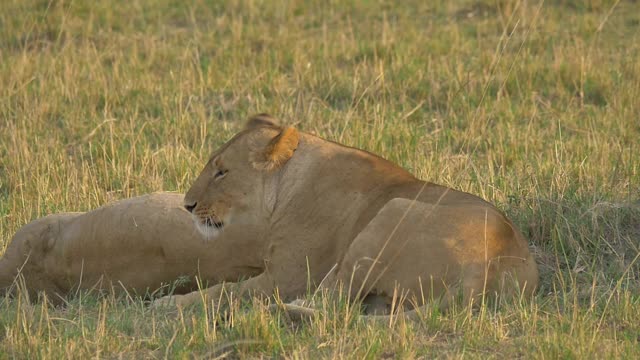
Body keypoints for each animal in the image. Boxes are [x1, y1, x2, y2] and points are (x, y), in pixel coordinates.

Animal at [156, 115, 540, 318]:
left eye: (222, 172)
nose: (188, 205)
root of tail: (489, 267)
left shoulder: (287, 277)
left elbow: (225, 291)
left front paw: (170, 304)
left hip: (390, 212)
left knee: (333, 302)